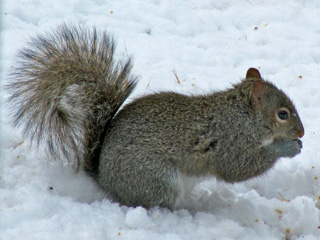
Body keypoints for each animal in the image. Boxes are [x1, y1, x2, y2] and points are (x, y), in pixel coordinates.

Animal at [6, 24, 304, 210]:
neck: (244, 116)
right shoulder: (232, 142)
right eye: (283, 114)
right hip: (158, 180)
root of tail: (104, 179)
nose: (301, 132)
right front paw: (287, 148)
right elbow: (240, 168)